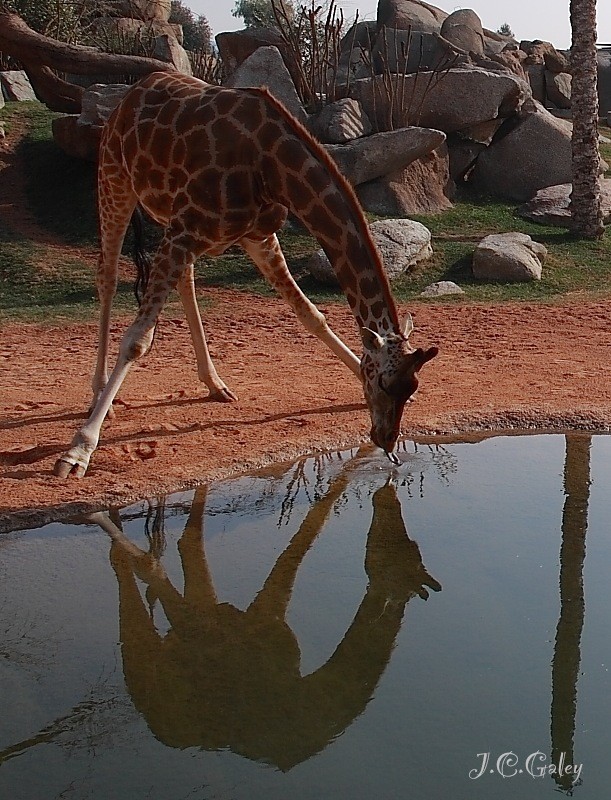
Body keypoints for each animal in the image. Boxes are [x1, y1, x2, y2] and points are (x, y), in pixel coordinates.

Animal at [51, 69, 436, 478]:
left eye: (411, 388)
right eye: (383, 382)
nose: (387, 442)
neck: (272, 167)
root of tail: (130, 94)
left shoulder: (254, 235)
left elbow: (310, 314)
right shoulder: (186, 230)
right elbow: (138, 341)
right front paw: (78, 450)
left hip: (172, 220)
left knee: (184, 279)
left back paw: (215, 384)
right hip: (115, 179)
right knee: (106, 275)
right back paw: (98, 394)